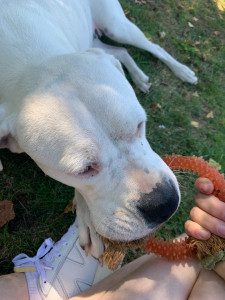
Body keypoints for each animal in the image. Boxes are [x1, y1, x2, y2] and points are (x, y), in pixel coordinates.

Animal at [0, 0, 197, 258]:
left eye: (139, 125)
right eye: (83, 169)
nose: (164, 203)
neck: (30, 62)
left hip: (116, 26)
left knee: (151, 46)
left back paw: (182, 71)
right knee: (119, 51)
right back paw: (140, 76)